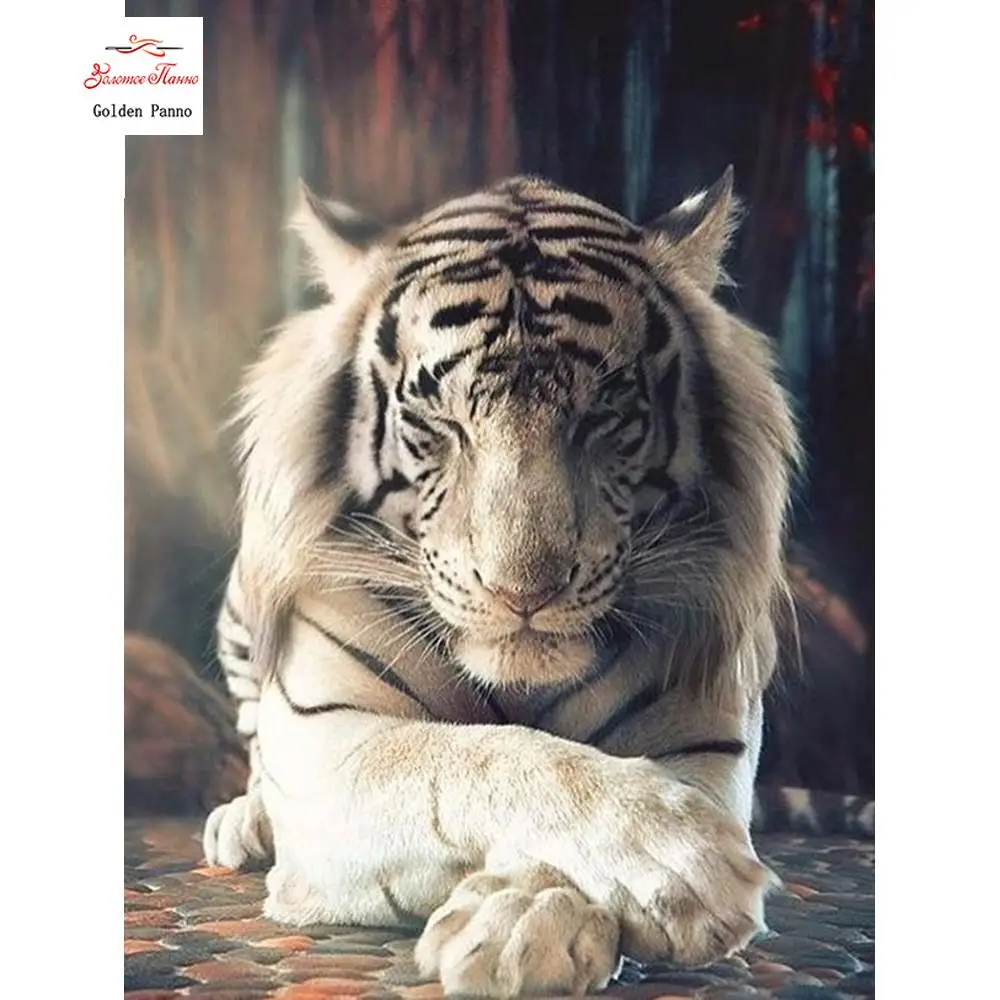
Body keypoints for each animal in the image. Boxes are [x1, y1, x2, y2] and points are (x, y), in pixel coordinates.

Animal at [203, 169, 872, 998]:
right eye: (439, 422)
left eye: (605, 415)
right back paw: (244, 820)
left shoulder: (704, 740)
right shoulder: (330, 745)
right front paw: (679, 861)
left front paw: (523, 923)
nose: (522, 593)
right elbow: (477, 756)